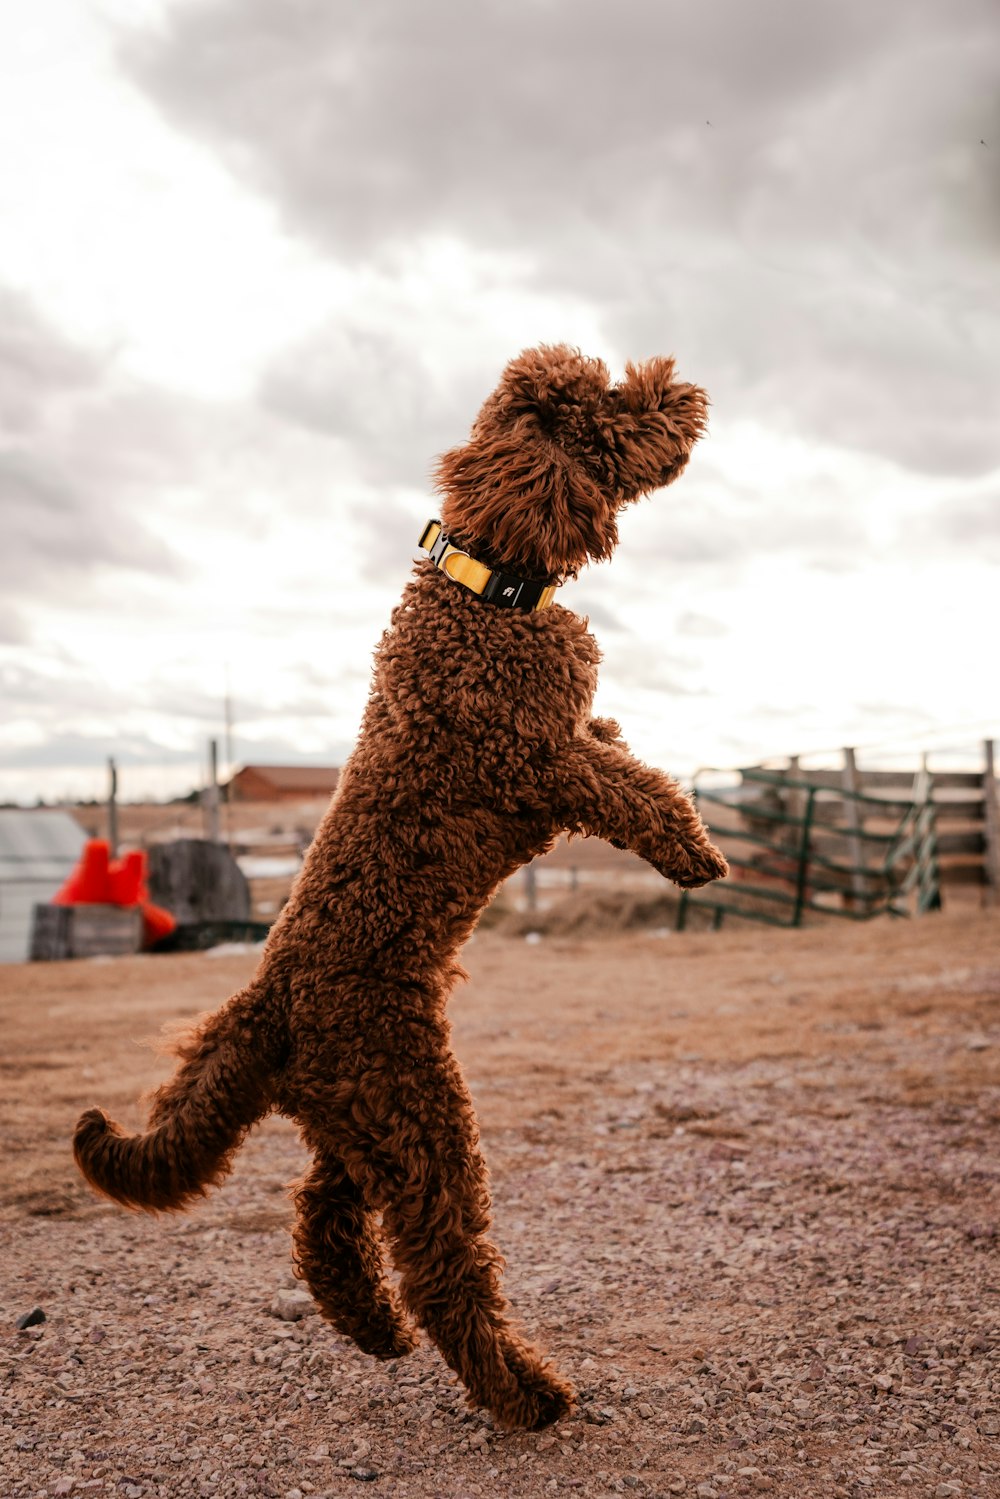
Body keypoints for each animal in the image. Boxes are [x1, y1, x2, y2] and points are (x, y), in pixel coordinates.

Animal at [72, 343, 728, 1427]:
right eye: (605, 403)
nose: (680, 386)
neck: (484, 587)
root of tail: (269, 998)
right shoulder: (531, 760)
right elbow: (625, 785)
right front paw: (691, 850)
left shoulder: (553, 747)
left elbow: (616, 748)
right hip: (417, 1113)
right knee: (438, 1266)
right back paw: (524, 1391)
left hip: (365, 1119)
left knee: (321, 1221)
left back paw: (370, 1326)